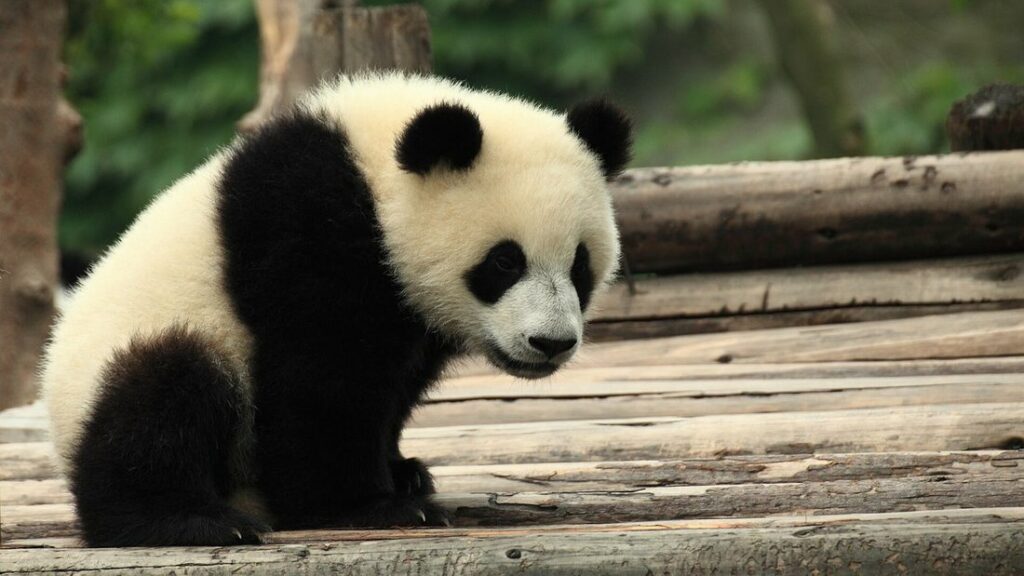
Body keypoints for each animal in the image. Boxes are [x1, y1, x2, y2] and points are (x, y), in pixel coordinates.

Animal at [41, 73, 631, 547]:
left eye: (580, 265)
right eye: (505, 262)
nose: (550, 343)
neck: (374, 174)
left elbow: (393, 383)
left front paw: (402, 471)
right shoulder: (307, 232)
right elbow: (323, 380)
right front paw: (372, 505)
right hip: (143, 351)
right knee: (163, 395)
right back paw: (187, 520)